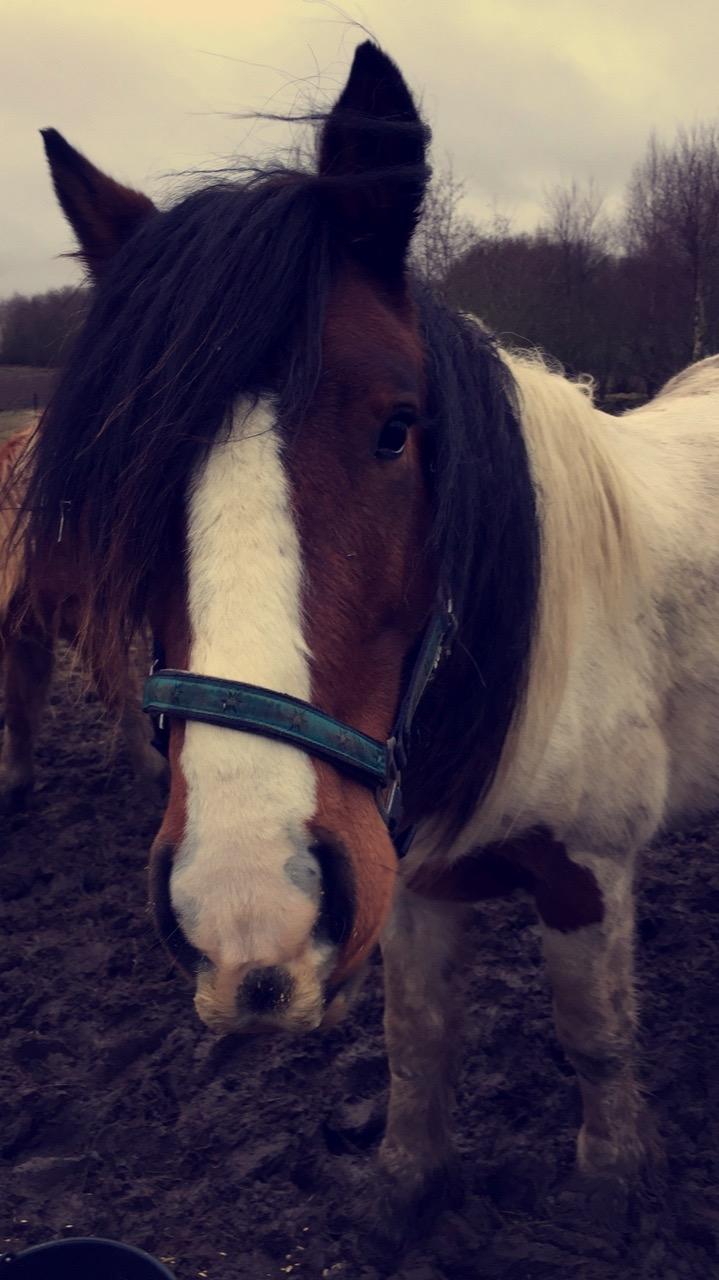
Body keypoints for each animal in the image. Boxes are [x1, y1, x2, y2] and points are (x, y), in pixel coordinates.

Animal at [18, 45, 719, 1233]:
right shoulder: (412, 873)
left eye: (396, 428)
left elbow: (593, 1036)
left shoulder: (586, 870)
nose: (244, 904)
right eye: (131, 466)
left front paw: (606, 1191)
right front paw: (404, 1186)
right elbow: (416, 1041)